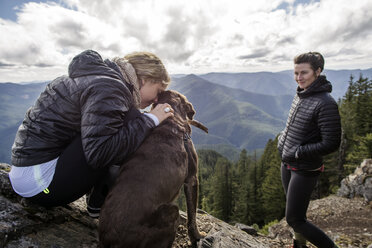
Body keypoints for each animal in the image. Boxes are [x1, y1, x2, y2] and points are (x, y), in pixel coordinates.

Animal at [99, 90, 208, 247]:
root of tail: (109, 241)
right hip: (171, 212)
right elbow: (192, 216)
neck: (172, 120)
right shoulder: (192, 178)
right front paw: (197, 237)